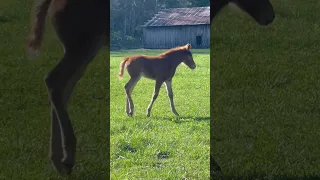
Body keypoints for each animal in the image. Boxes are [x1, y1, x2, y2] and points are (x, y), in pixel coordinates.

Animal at [24, 0, 109, 174]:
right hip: (83, 43)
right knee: (54, 80)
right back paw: (67, 157)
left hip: (86, 46)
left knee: (64, 87)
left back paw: (59, 160)